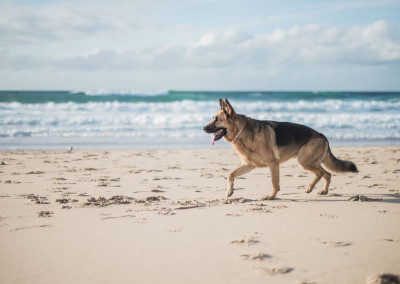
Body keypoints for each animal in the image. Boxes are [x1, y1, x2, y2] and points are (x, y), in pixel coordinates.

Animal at [203, 97, 360, 200]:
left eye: (217, 119)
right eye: (213, 118)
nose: (203, 128)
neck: (243, 132)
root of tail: (323, 135)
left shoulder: (273, 164)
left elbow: (274, 182)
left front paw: (271, 196)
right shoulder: (249, 165)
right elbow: (230, 174)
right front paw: (230, 190)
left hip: (304, 161)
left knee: (322, 173)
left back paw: (310, 187)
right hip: (308, 162)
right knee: (327, 174)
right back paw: (322, 190)